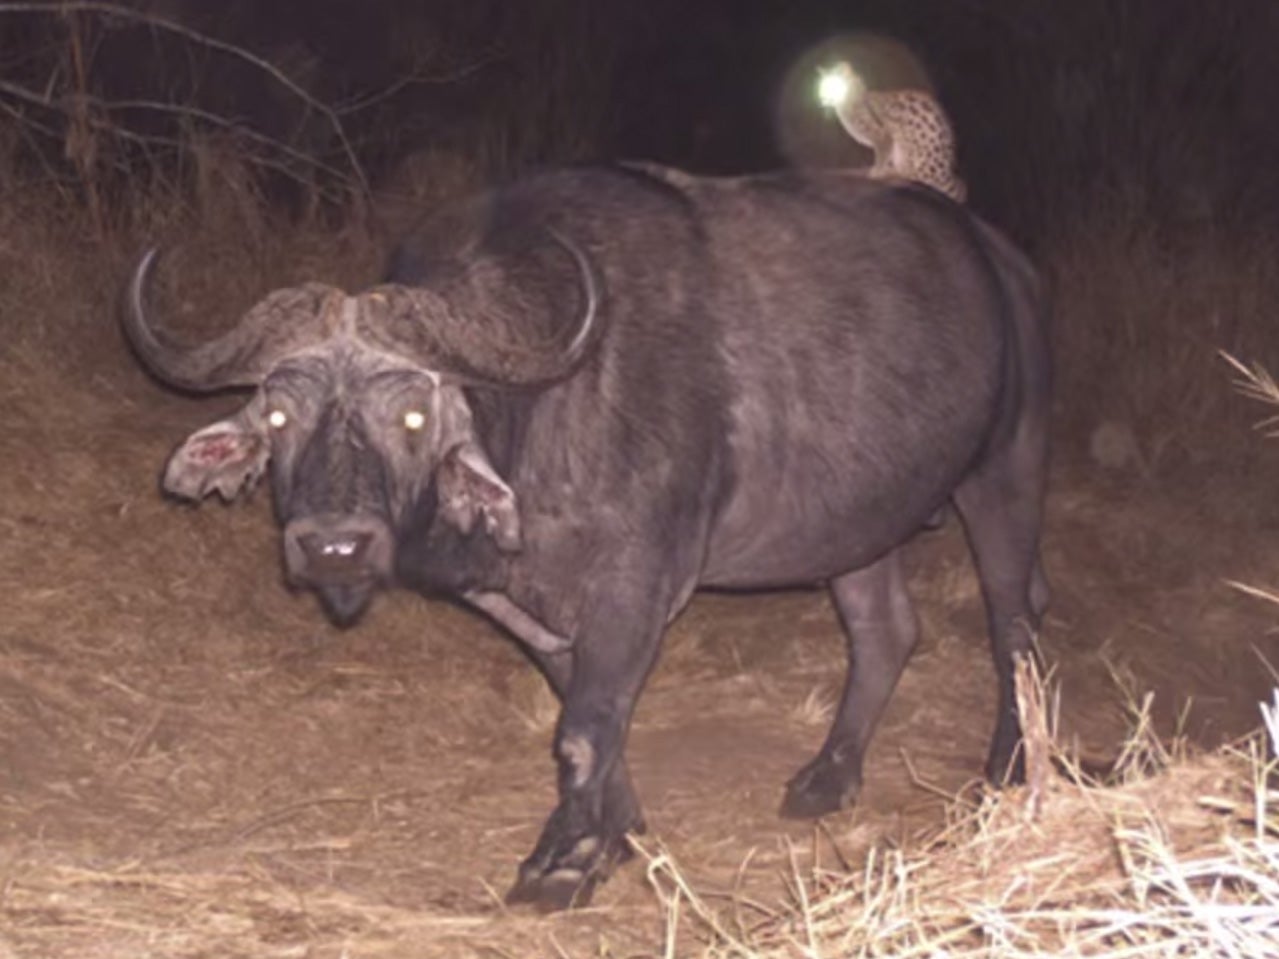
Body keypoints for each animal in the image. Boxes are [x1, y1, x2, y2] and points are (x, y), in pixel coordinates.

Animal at [124, 163, 1048, 910]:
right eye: (281, 417)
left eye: (414, 415)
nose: (334, 548)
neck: (547, 414)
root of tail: (1004, 261)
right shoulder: (527, 607)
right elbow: (585, 714)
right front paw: (615, 833)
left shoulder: (636, 586)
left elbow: (584, 727)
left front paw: (561, 864)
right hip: (857, 523)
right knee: (883, 628)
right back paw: (828, 776)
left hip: (1002, 470)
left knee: (1015, 621)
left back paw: (1008, 768)